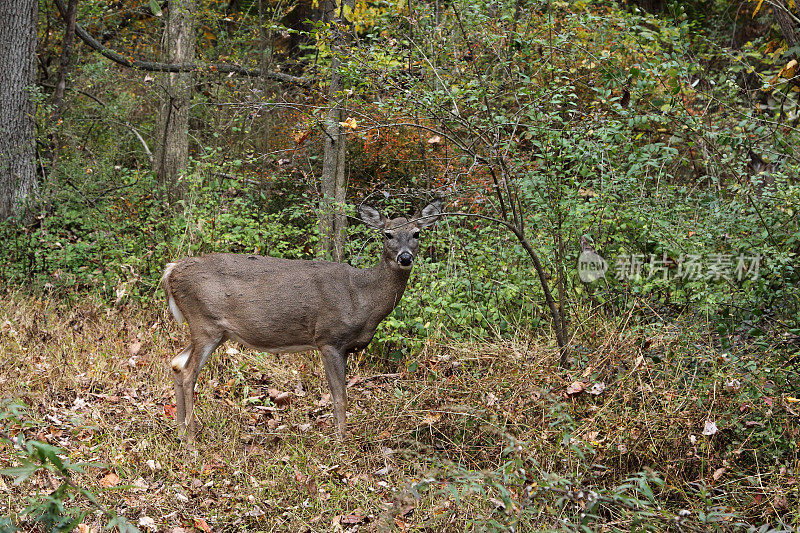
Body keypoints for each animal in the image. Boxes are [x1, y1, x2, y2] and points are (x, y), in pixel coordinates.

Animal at [162, 200, 444, 440]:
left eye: (417, 233)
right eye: (387, 234)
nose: (405, 257)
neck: (361, 296)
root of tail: (171, 270)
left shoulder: (345, 347)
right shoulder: (328, 338)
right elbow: (339, 397)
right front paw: (340, 442)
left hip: (213, 330)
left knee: (176, 363)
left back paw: (180, 433)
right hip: (205, 322)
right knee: (188, 372)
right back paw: (191, 440)